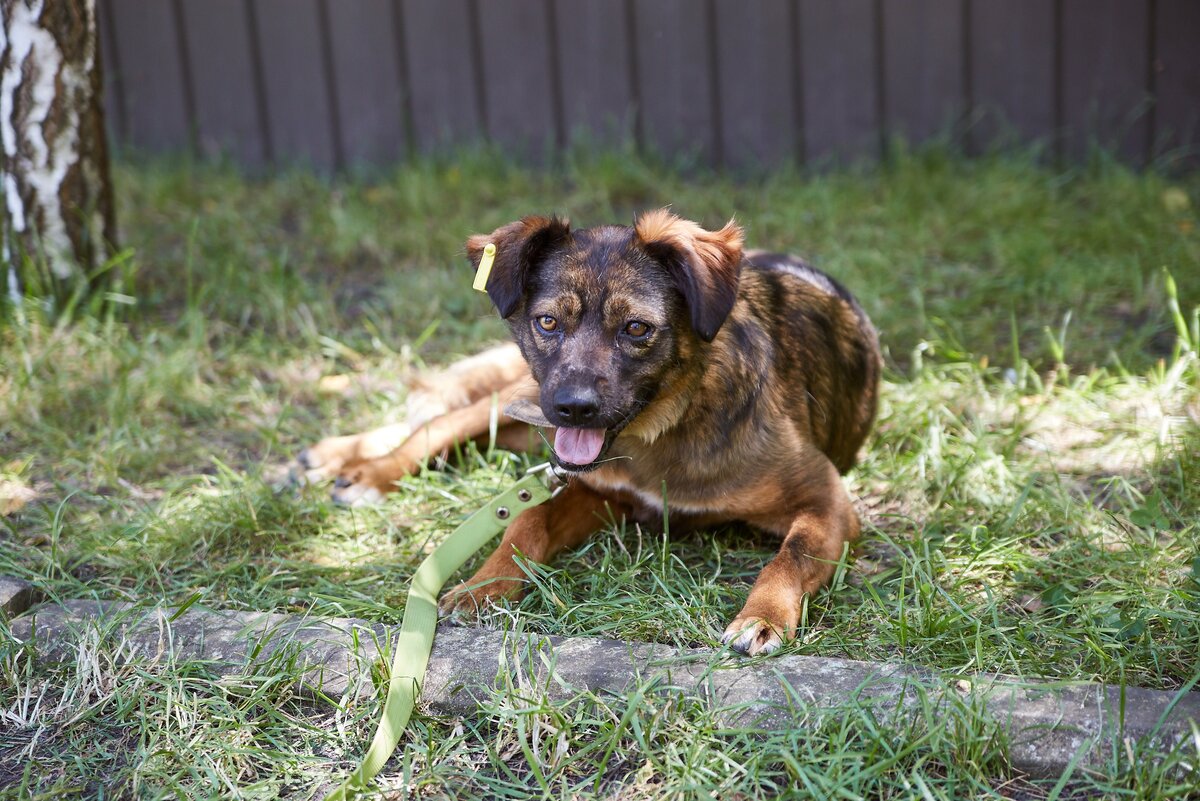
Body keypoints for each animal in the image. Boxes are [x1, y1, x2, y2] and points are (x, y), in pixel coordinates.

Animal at [300, 209, 883, 652]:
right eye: (548, 322)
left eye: (637, 329)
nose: (573, 409)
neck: (661, 429)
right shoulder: (593, 489)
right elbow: (524, 522)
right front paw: (484, 585)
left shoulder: (826, 500)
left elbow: (791, 555)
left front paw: (762, 617)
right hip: (520, 400)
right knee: (437, 423)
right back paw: (354, 466)